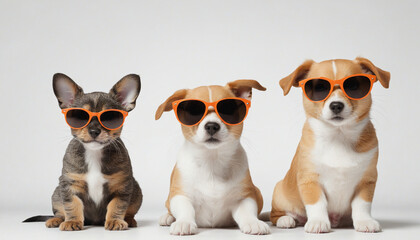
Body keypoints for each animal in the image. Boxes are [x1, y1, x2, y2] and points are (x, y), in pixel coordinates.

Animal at [154, 79, 270, 235]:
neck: (211, 160)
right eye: (194, 112)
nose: (211, 126)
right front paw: (184, 222)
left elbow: (247, 211)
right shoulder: (180, 194)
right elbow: (185, 208)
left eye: (227, 109)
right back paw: (167, 217)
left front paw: (253, 222)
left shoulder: (244, 197)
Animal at [270, 57, 390, 233]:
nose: (336, 105)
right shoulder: (310, 180)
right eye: (320, 88)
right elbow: (317, 203)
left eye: (353, 86)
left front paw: (364, 221)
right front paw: (318, 222)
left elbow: (362, 205)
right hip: (279, 193)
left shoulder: (366, 181)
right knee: (276, 214)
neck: (338, 136)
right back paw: (285, 220)